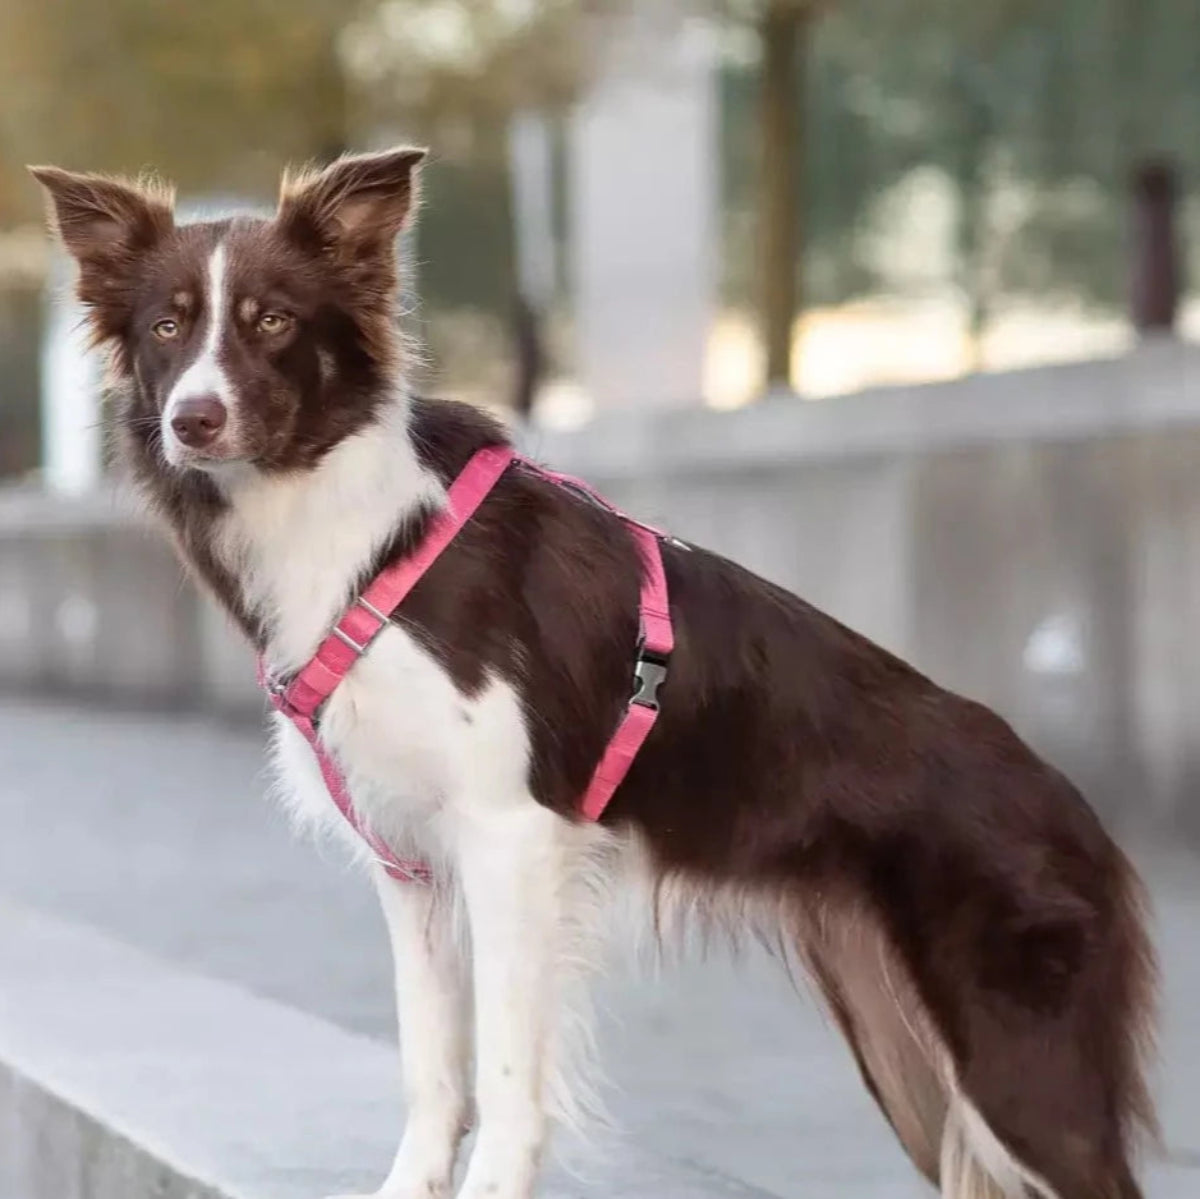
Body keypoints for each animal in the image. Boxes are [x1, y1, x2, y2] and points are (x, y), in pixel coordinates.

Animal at [32, 150, 1152, 1199]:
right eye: (167, 328)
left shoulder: (512, 837)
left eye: (270, 320)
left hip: (1018, 1065)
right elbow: (433, 1067)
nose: (193, 421)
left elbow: (506, 1072)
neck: (354, 524)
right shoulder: (412, 863)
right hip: (912, 1061)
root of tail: (1082, 811)